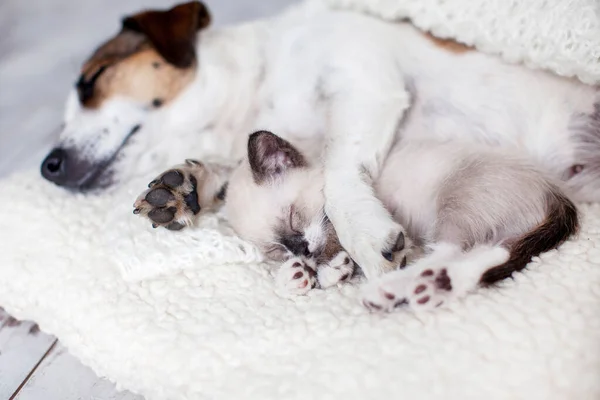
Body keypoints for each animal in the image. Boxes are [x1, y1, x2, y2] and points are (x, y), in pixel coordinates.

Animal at [132, 131, 576, 312]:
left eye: (293, 217)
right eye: (277, 249)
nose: (301, 249)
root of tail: (558, 194)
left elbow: (343, 247)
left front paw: (330, 270)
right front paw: (299, 275)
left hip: (456, 200)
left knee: (460, 250)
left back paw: (394, 289)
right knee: (490, 256)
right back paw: (425, 291)